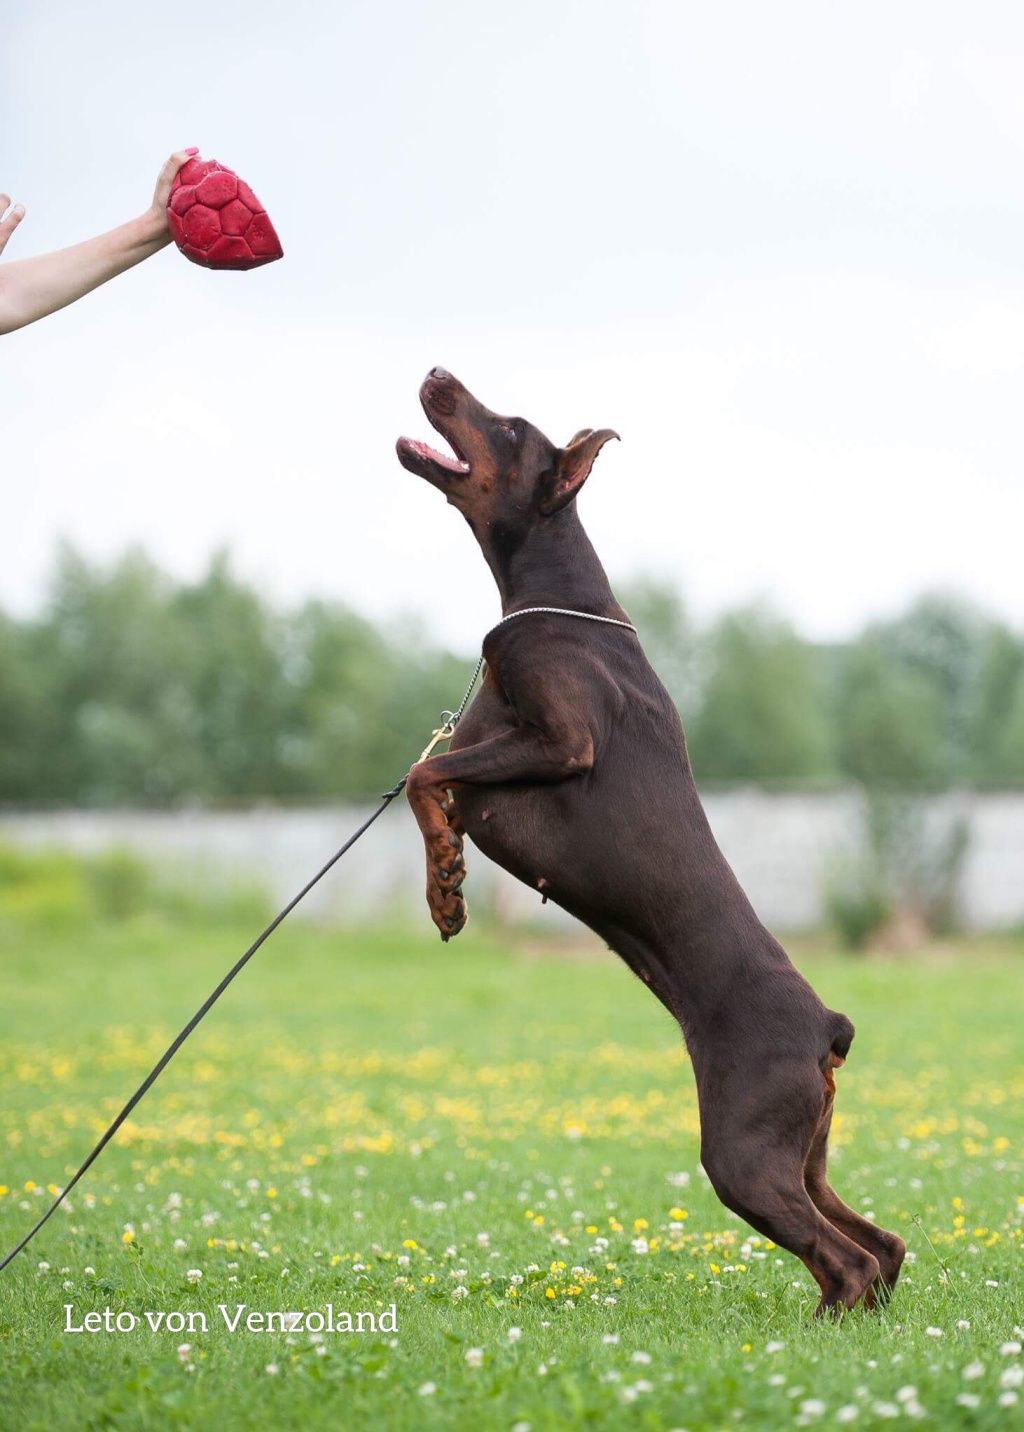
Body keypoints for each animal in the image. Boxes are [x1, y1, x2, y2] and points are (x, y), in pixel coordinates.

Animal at [395, 366, 910, 1311]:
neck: (557, 600)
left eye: (511, 427)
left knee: (847, 1256)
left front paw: (446, 883)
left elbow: (424, 773)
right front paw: (445, 886)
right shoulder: (486, 751)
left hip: (743, 1149)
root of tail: (827, 1027)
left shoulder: (563, 740)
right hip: (805, 1149)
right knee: (879, 1244)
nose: (439, 374)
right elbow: (434, 779)